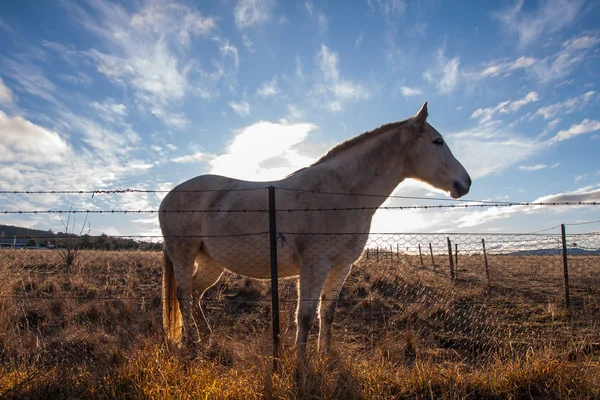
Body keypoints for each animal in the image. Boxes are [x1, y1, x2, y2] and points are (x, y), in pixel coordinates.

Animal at [157, 101, 472, 358]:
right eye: (438, 141)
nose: (465, 183)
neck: (341, 193)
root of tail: (169, 196)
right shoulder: (315, 264)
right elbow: (306, 315)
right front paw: (301, 364)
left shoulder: (341, 266)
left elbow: (327, 312)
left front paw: (326, 356)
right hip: (184, 255)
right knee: (184, 295)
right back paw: (191, 343)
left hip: (211, 262)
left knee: (196, 293)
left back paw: (206, 337)